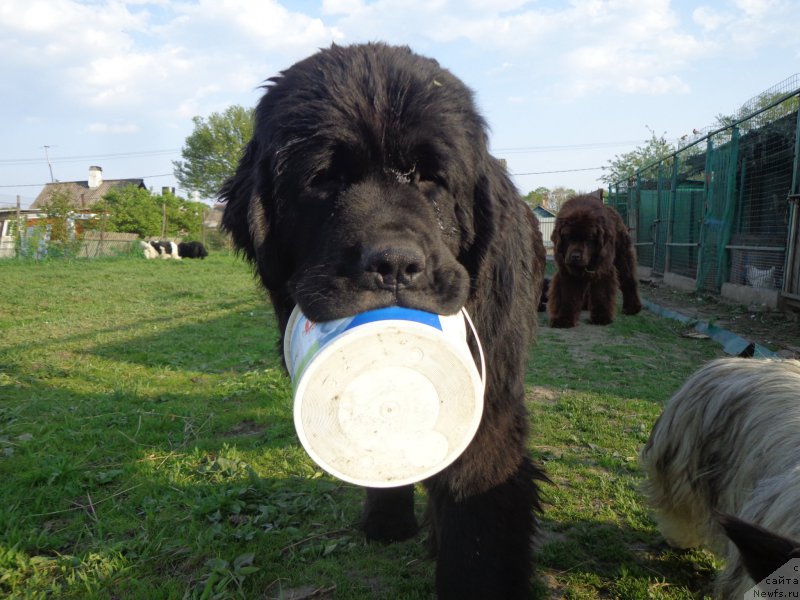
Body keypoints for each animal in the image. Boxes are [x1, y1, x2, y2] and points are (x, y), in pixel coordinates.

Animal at [222, 43, 552, 600]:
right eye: (324, 178)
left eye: (430, 178)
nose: (395, 264)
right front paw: (387, 520)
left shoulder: (490, 408)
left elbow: (477, 522)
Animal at [552, 193, 644, 328]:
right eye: (568, 237)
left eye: (588, 239)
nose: (575, 256)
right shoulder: (567, 271)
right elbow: (567, 295)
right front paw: (564, 319)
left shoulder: (603, 269)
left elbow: (601, 293)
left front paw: (601, 317)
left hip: (623, 257)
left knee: (628, 280)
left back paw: (632, 308)